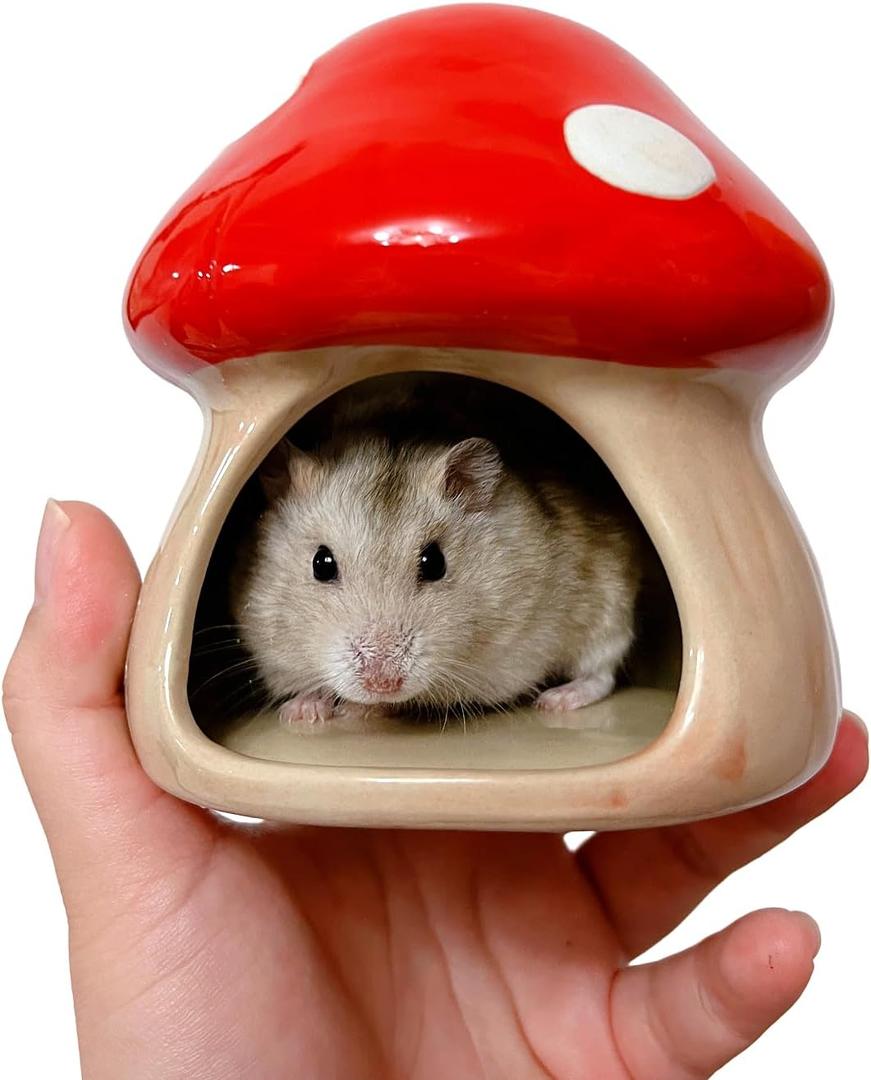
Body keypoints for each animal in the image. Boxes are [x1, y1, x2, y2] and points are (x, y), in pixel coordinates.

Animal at [229, 375, 642, 725]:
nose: (382, 684)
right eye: (322, 564)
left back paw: (556, 701)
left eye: (434, 563)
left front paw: (356, 710)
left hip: (611, 608)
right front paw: (302, 711)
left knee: (601, 673)